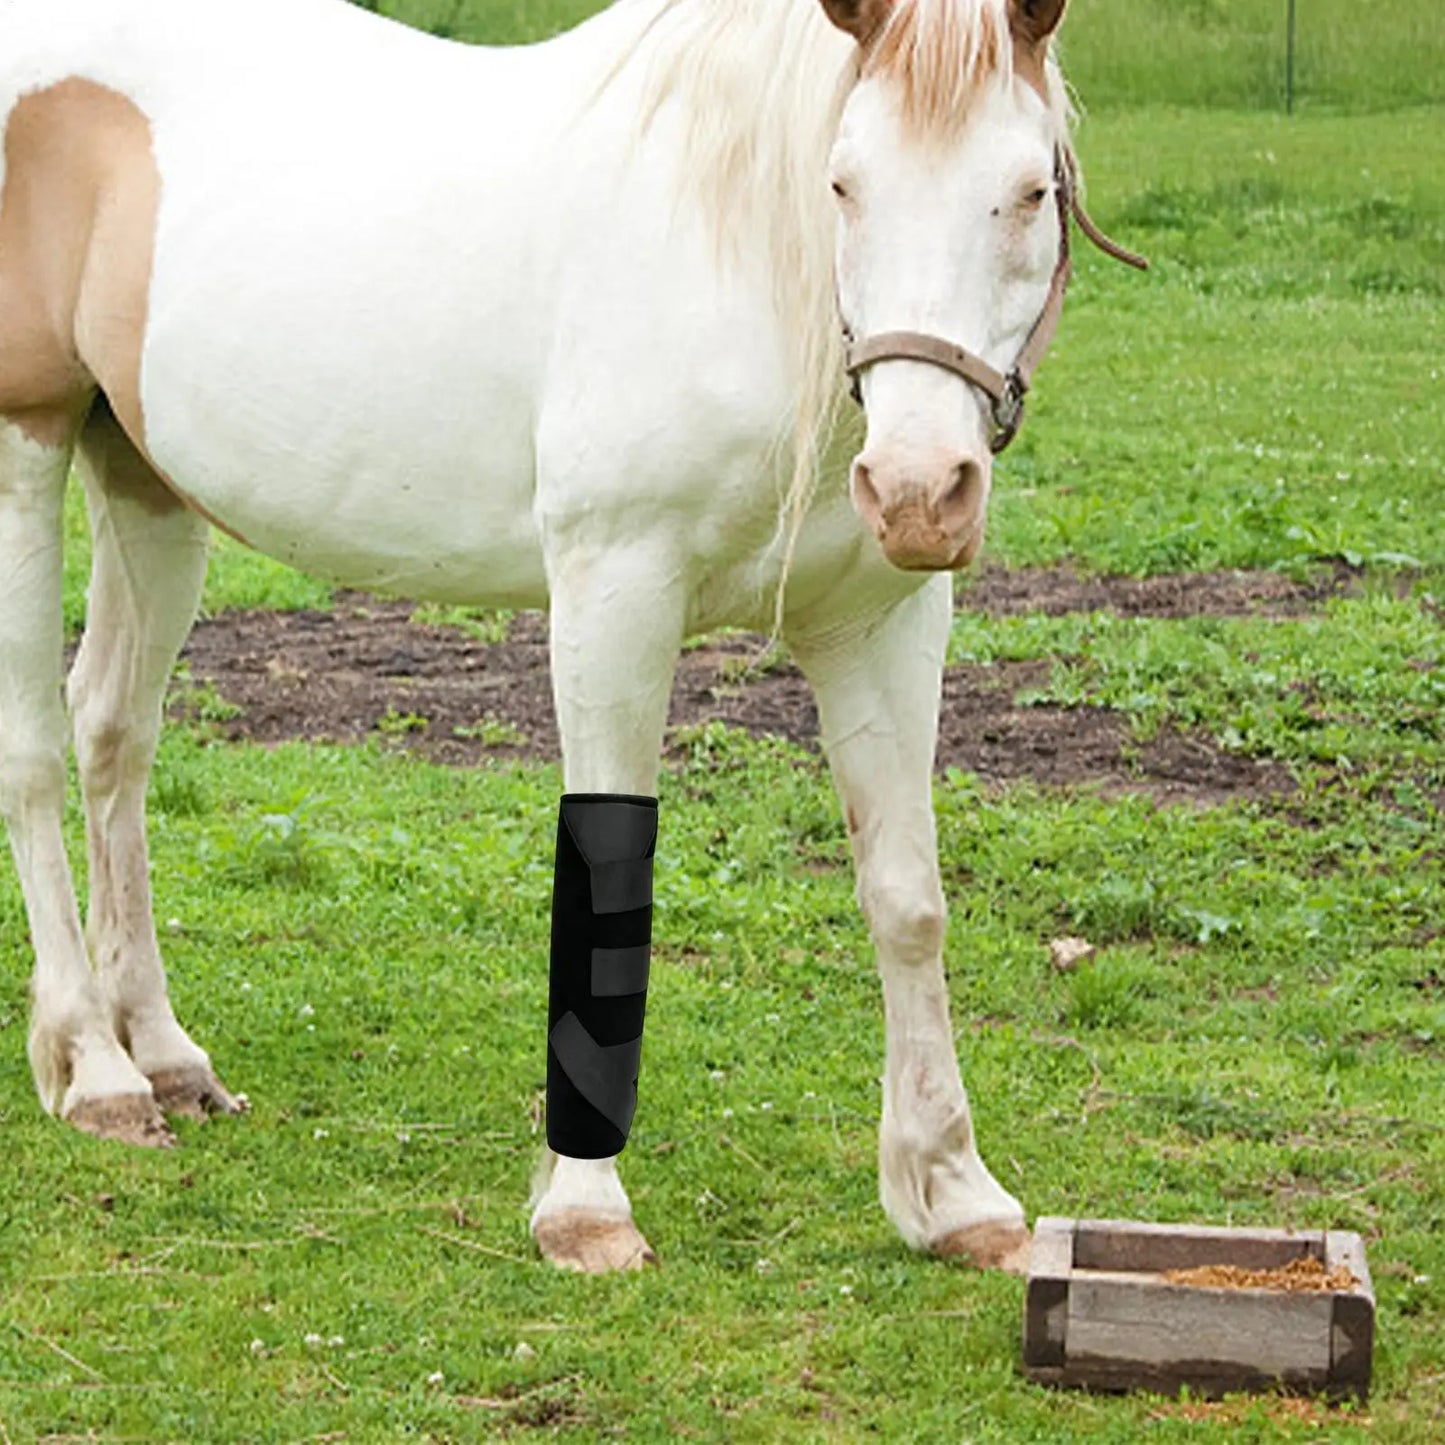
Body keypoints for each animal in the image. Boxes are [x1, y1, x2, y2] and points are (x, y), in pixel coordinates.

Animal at [0, 0, 1118, 1275]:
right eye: (841, 180)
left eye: (1028, 189)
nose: (921, 489)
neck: (736, 266)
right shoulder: (611, 592)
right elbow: (606, 880)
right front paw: (585, 1204)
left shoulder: (877, 624)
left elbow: (906, 895)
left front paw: (951, 1190)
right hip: (28, 440)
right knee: (37, 750)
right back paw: (92, 1065)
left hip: (143, 478)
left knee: (113, 734)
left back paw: (163, 1052)